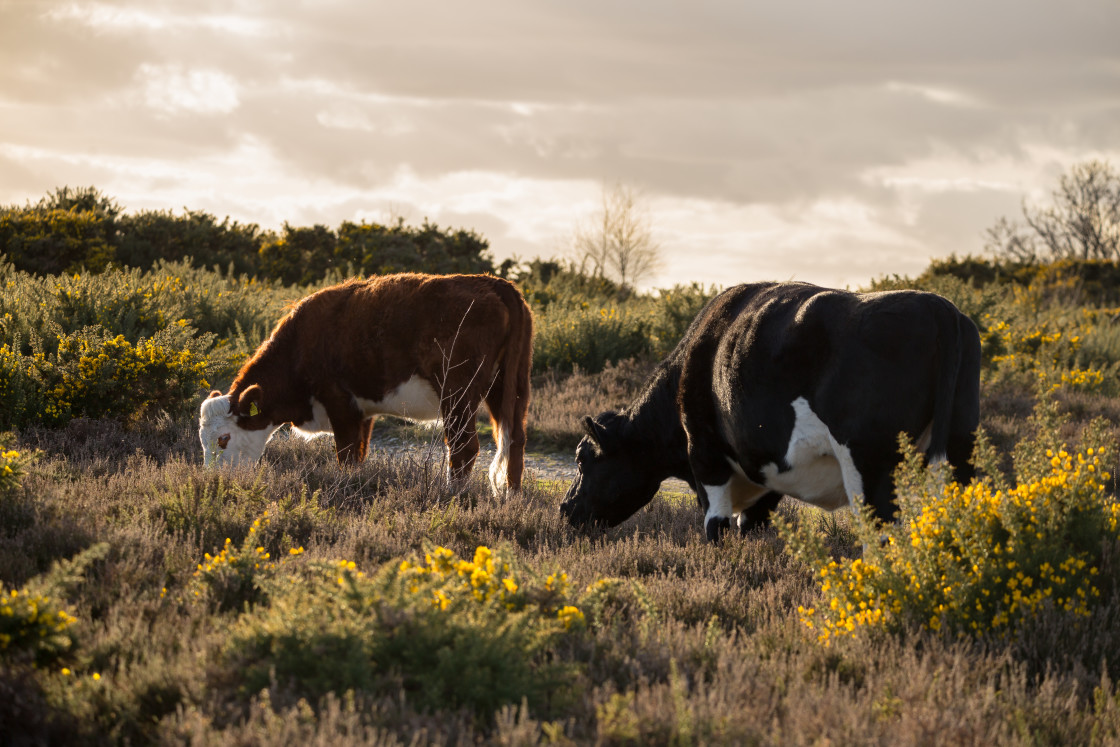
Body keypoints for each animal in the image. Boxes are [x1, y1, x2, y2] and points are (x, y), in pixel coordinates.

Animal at [198, 273, 533, 497]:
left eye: (224, 438)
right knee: (515, 439)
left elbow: (346, 453)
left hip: (457, 392)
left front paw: (346, 485)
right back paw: (511, 496)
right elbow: (359, 452)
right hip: (510, 386)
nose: (214, 480)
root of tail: (494, 283)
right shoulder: (363, 410)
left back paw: (453, 493)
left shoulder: (339, 401)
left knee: (464, 445)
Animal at [560, 283, 981, 539]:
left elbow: (716, 524)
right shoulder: (766, 472)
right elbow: (753, 525)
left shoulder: (705, 454)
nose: (565, 509)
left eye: (582, 460)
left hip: (869, 461)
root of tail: (937, 305)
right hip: (963, 446)